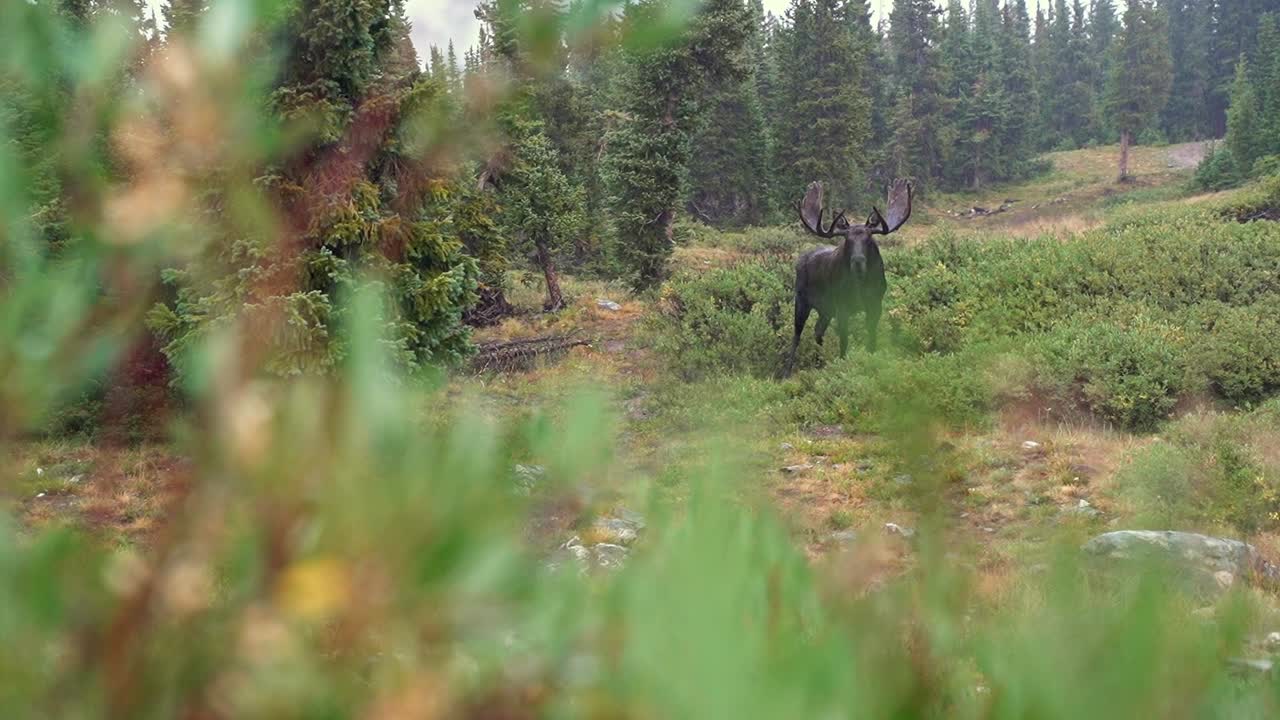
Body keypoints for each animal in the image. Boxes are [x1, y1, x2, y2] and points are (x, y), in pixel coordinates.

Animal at [783, 179, 914, 377]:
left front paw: (871, 362)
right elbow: (843, 341)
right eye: (848, 241)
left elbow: (872, 337)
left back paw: (819, 362)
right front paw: (842, 367)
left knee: (818, 330)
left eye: (868, 239)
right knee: (796, 335)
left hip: (826, 309)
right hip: (802, 302)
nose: (858, 261)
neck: (860, 285)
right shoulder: (841, 306)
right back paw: (786, 372)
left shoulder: (875, 304)